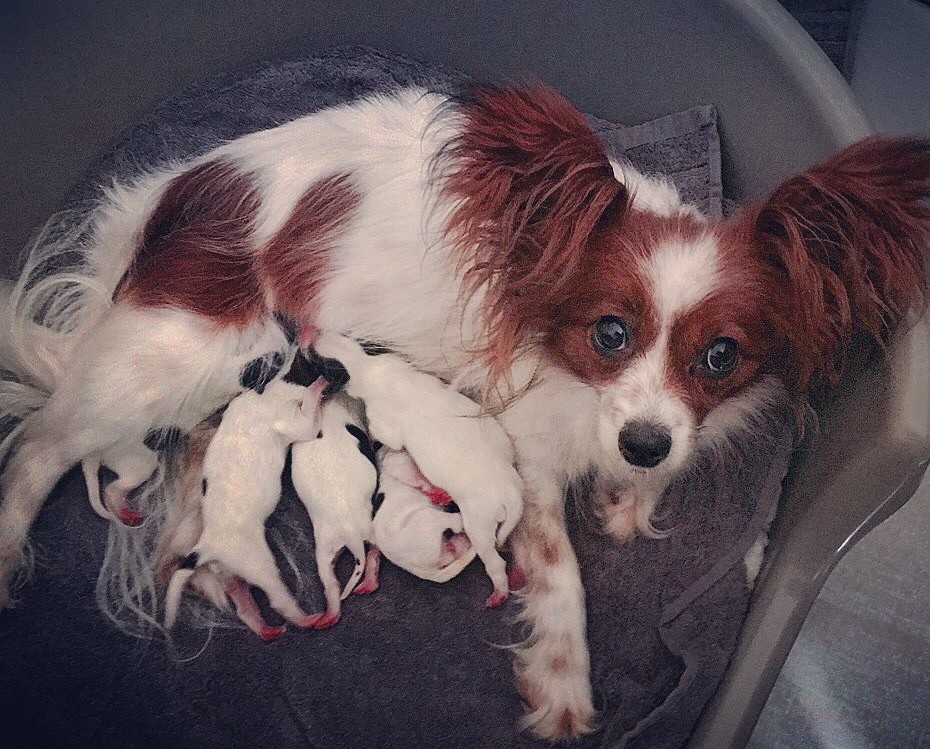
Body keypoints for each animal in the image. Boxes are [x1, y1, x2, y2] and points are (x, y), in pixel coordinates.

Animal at [165, 376, 324, 636]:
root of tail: (205, 546)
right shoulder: (295, 422)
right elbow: (309, 417)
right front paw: (316, 390)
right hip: (259, 564)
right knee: (278, 600)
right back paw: (306, 619)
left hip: (228, 574)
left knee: (241, 604)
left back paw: (264, 627)